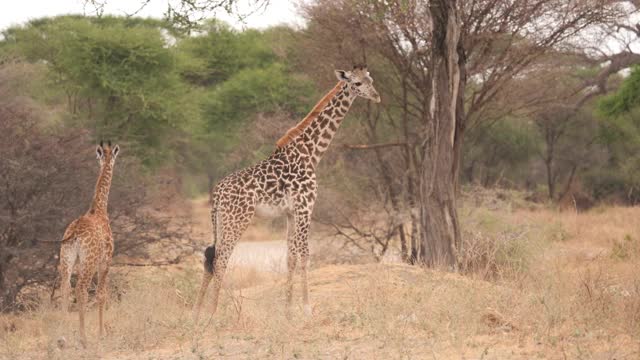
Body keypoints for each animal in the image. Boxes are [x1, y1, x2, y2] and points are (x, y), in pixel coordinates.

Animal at [57, 141, 120, 346]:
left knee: (65, 288)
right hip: (89, 262)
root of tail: (75, 233)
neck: (98, 209)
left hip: (66, 259)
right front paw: (101, 334)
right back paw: (83, 339)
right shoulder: (106, 261)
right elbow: (101, 294)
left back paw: (62, 337)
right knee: (81, 289)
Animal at [192, 65, 382, 320]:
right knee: (221, 260)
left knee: (210, 257)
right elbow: (305, 256)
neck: (310, 154)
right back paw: (213, 313)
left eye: (371, 79)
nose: (376, 96)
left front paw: (288, 311)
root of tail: (218, 193)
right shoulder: (305, 207)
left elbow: (290, 258)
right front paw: (307, 309)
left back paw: (197, 312)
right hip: (238, 219)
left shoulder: (291, 213)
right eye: (357, 83)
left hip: (222, 221)